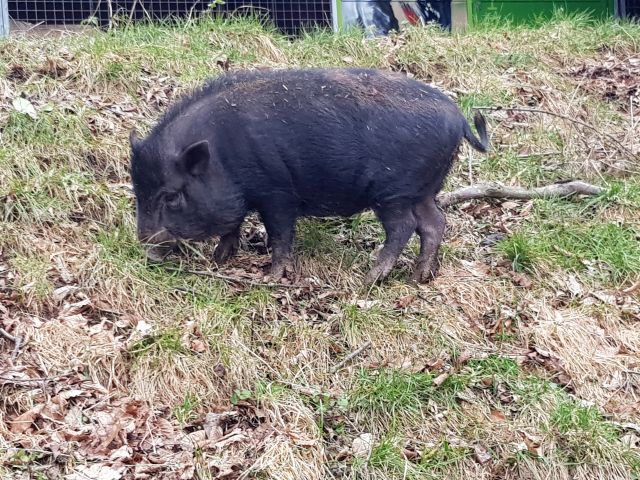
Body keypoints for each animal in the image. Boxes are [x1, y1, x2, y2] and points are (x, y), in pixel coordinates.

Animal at [130, 68, 490, 284]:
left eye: (171, 195)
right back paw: (419, 277)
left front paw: (271, 277)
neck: (222, 155)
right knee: (434, 223)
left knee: (404, 227)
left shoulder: (276, 193)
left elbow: (279, 234)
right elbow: (233, 224)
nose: (145, 245)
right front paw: (220, 259)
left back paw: (369, 278)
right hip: (423, 190)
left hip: (394, 193)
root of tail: (458, 117)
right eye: (138, 192)